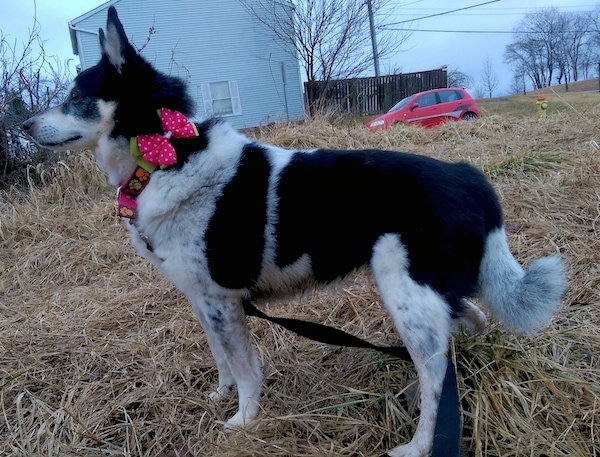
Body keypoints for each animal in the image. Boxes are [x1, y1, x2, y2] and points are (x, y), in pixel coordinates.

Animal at [23, 8, 568, 456]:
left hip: (405, 294)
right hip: (424, 294)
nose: (25, 125)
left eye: (75, 97)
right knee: (463, 327)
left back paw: (418, 444)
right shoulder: (202, 300)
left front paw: (243, 420)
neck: (167, 156)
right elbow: (222, 360)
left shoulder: (222, 301)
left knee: (436, 373)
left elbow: (246, 370)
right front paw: (219, 394)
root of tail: (468, 176)